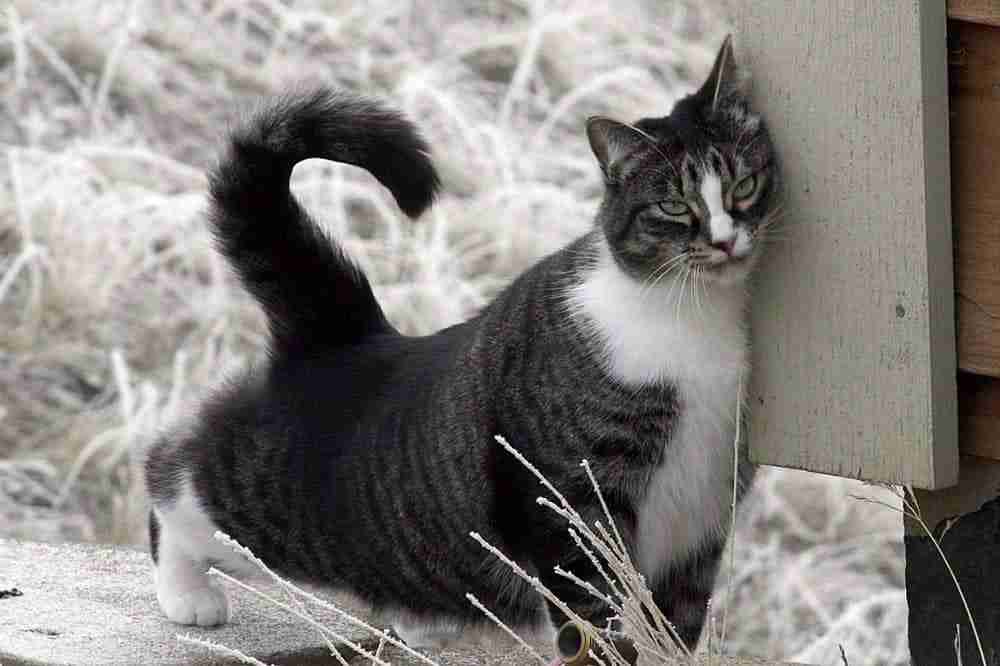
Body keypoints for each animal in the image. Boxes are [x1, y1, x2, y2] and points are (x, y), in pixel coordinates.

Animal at [145, 36, 776, 660]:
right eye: (674, 205)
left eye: (744, 185)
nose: (725, 240)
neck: (692, 314)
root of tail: (347, 334)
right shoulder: (570, 503)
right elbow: (595, 615)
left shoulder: (704, 516)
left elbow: (678, 623)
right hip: (265, 504)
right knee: (170, 476)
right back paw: (187, 592)